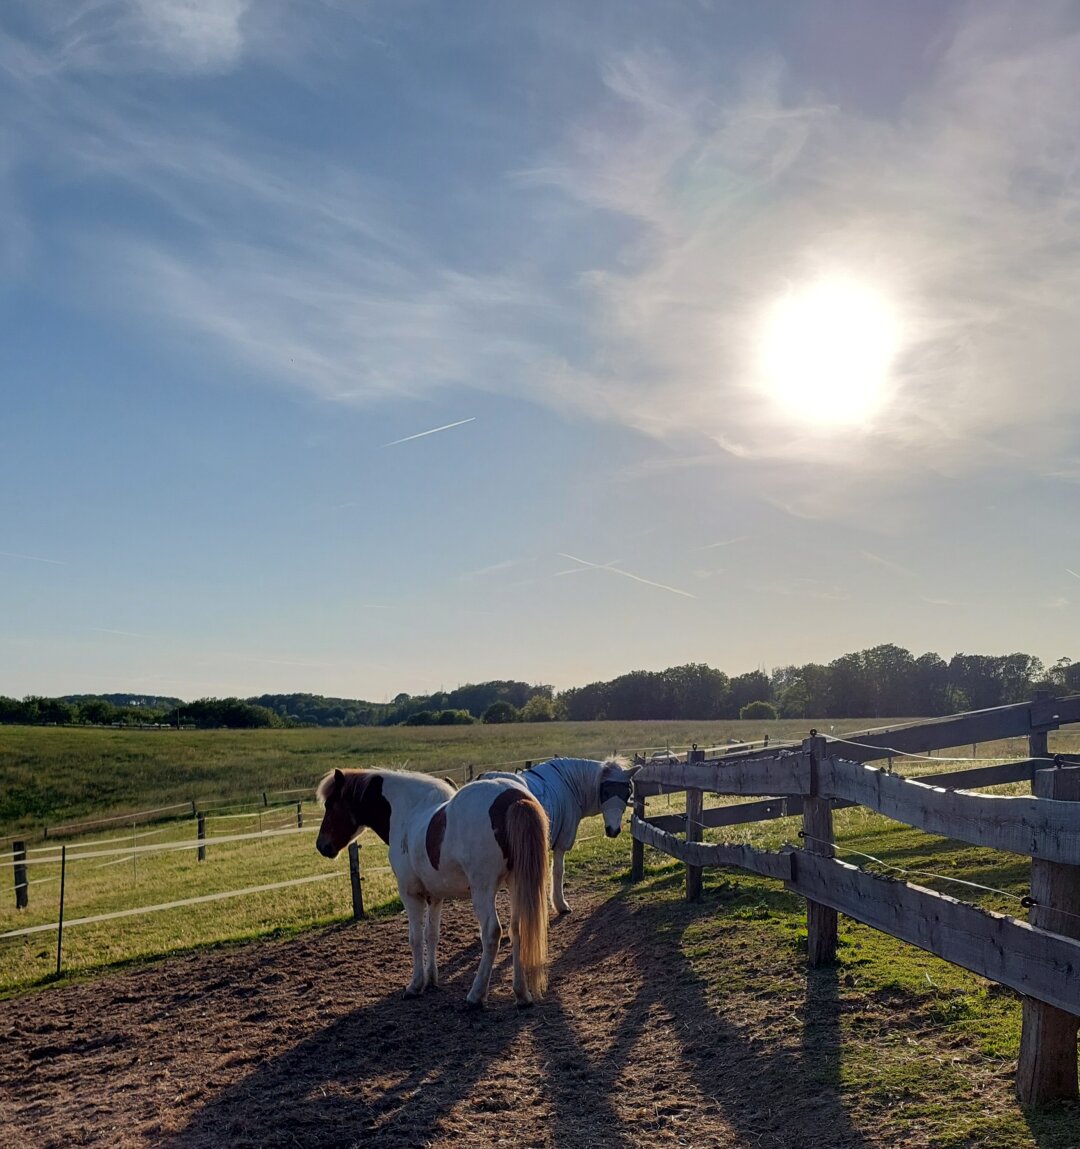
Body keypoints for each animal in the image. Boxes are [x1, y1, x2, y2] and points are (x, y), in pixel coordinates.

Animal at [315, 768, 550, 1009]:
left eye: (330, 804)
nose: (322, 845)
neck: (409, 812)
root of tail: (515, 798)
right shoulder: (435, 897)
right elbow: (432, 935)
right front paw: (431, 979)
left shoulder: (410, 894)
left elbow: (416, 938)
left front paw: (416, 985)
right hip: (516, 884)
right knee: (517, 929)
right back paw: (521, 994)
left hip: (483, 890)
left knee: (492, 932)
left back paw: (476, 995)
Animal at [480, 756, 639, 914]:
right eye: (605, 792)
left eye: (627, 793)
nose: (613, 830)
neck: (569, 785)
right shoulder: (561, 843)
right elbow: (557, 871)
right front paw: (560, 904)